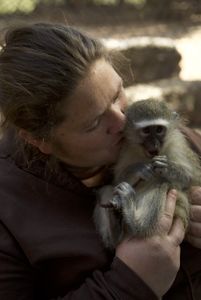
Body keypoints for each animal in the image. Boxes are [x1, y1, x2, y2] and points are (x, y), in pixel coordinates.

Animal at [95, 98, 201, 248]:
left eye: (159, 129)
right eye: (146, 131)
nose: (154, 144)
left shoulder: (177, 144)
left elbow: (192, 177)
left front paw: (167, 167)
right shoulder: (125, 149)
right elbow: (118, 179)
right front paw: (138, 169)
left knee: (161, 182)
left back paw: (135, 223)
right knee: (107, 190)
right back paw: (115, 226)